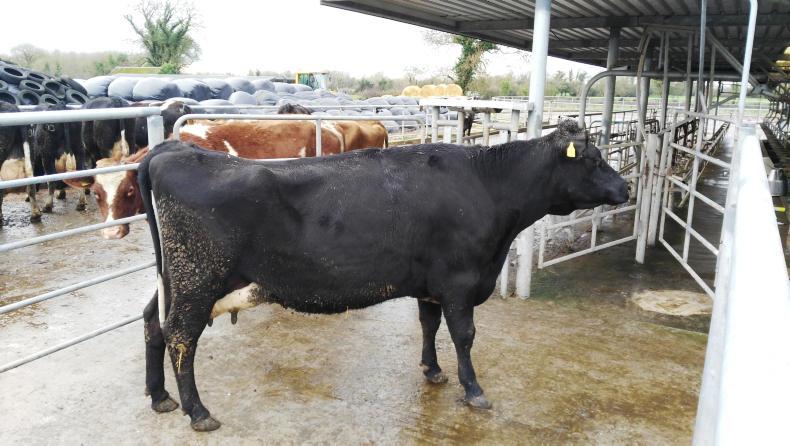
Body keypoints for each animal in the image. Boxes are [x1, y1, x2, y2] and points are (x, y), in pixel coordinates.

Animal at [137, 120, 629, 431]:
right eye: (592, 159)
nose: (625, 187)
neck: (488, 186)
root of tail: (172, 149)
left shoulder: (432, 285)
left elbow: (428, 325)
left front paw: (432, 370)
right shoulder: (459, 281)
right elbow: (464, 335)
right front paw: (473, 389)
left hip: (174, 280)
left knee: (152, 323)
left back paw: (159, 397)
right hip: (197, 279)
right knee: (181, 336)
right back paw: (197, 412)